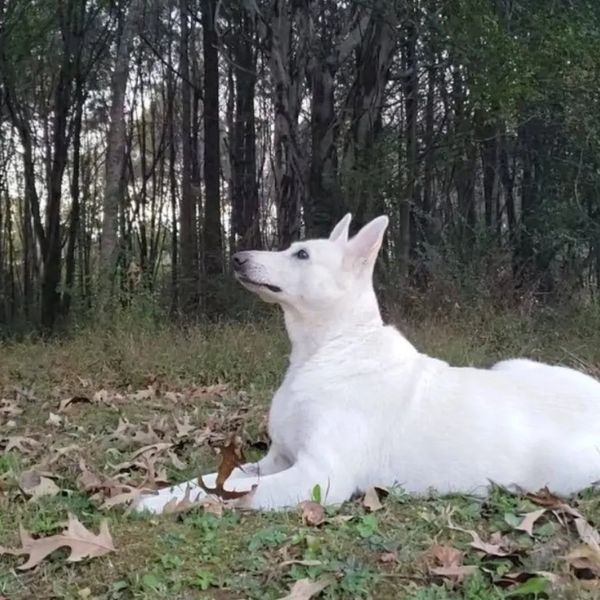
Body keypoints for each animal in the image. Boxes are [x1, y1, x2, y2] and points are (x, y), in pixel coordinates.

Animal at [136, 213, 600, 512]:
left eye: (301, 255)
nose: (237, 257)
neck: (327, 349)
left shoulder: (317, 476)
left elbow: (231, 490)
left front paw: (158, 503)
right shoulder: (278, 460)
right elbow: (220, 479)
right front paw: (159, 495)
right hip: (512, 364)